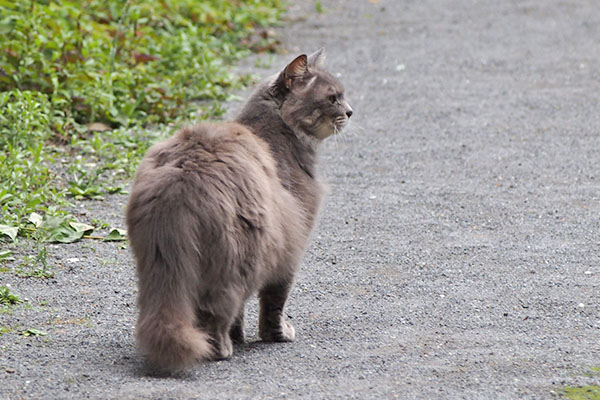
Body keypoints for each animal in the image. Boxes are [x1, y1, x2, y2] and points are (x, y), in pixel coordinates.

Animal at [125, 49, 352, 372]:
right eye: (333, 97)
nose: (350, 111)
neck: (279, 136)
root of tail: (181, 181)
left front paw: (240, 336)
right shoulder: (291, 247)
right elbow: (274, 302)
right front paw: (278, 335)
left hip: (156, 264)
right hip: (239, 261)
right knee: (218, 309)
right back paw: (218, 349)